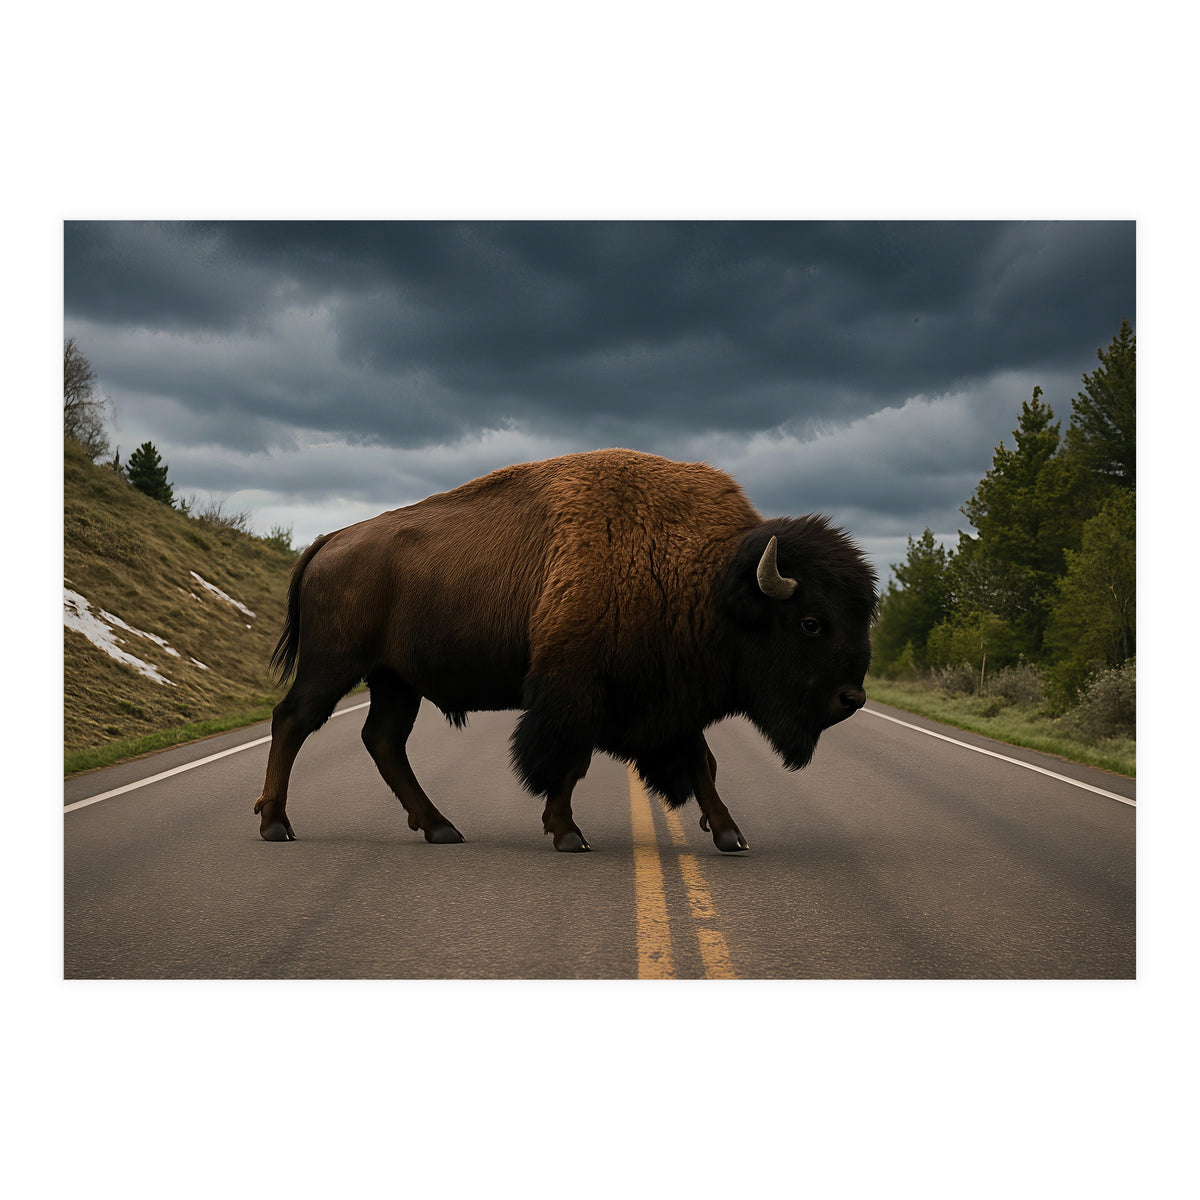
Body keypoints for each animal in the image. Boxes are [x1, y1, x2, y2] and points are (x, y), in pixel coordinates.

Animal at [254, 449, 878, 852]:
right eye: (811, 623)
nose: (851, 698)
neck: (708, 578)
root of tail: (330, 540)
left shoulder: (667, 699)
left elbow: (699, 761)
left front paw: (730, 833)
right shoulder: (577, 690)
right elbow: (569, 760)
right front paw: (567, 833)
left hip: (394, 680)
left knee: (382, 740)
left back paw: (440, 828)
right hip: (335, 665)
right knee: (292, 720)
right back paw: (276, 825)